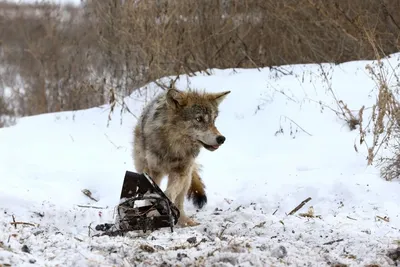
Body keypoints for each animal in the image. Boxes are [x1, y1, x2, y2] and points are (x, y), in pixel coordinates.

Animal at [132, 87, 230, 227]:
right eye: (199, 119)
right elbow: (153, 194)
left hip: (187, 178)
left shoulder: (180, 172)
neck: (173, 147)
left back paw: (185, 221)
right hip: (143, 167)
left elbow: (169, 193)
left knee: (179, 201)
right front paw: (152, 213)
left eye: (213, 120)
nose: (221, 139)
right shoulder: (153, 172)